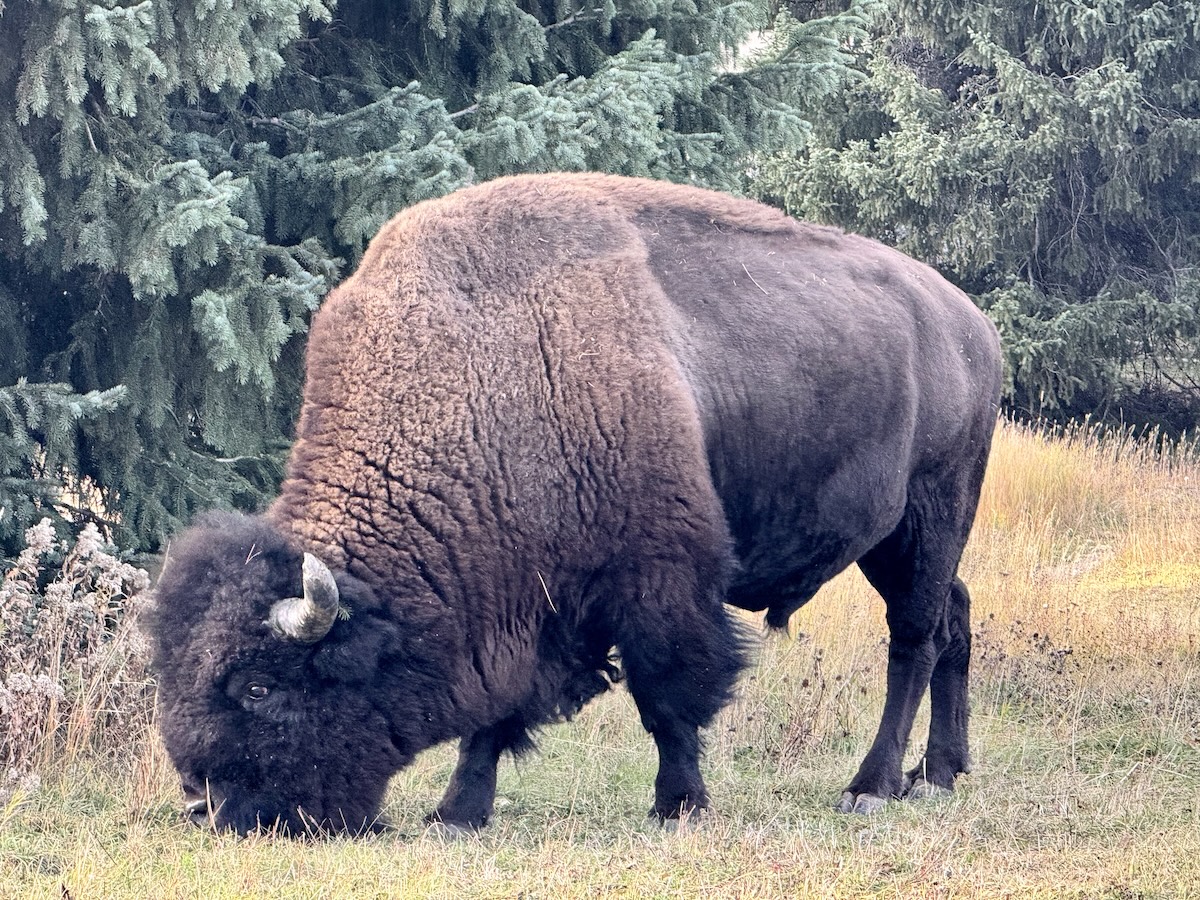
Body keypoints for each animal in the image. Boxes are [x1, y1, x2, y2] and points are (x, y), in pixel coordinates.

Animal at [150, 173, 1002, 835]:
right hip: (894, 543)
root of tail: (973, 323)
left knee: (914, 639)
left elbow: (668, 698)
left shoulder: (660, 581)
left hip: (929, 514)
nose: (203, 806)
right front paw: (457, 813)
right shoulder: (517, 604)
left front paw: (678, 805)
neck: (485, 376)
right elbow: (497, 715)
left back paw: (870, 787)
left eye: (258, 685)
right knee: (955, 615)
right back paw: (940, 773)